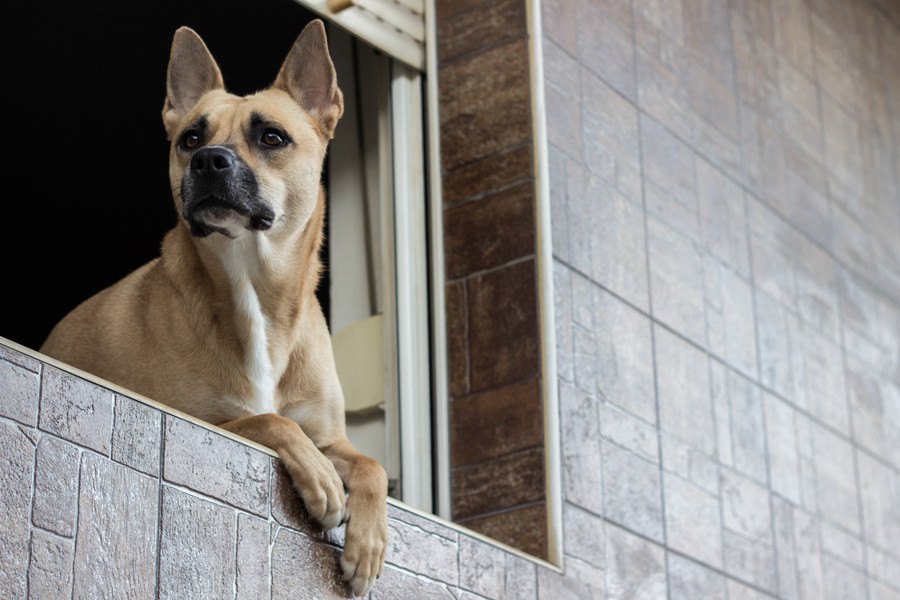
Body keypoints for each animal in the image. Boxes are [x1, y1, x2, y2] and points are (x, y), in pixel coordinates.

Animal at [40, 19, 384, 596]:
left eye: (272, 137)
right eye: (190, 139)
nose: (207, 159)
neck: (254, 287)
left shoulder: (329, 434)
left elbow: (371, 463)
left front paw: (370, 541)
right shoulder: (198, 418)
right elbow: (269, 421)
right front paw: (319, 478)